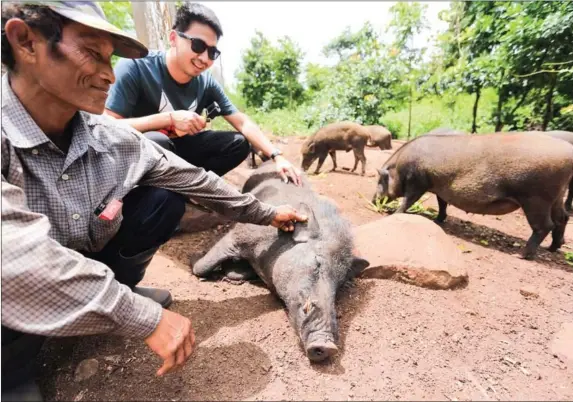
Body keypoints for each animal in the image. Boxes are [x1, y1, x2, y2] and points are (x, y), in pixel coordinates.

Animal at [370, 132, 572, 260]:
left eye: (379, 180)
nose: (372, 200)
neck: (400, 167)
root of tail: (568, 154)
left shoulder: (418, 182)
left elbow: (408, 200)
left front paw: (394, 213)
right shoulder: (439, 187)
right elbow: (442, 204)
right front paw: (437, 220)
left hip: (536, 198)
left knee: (545, 225)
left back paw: (521, 255)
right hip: (556, 196)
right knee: (562, 218)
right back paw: (552, 248)